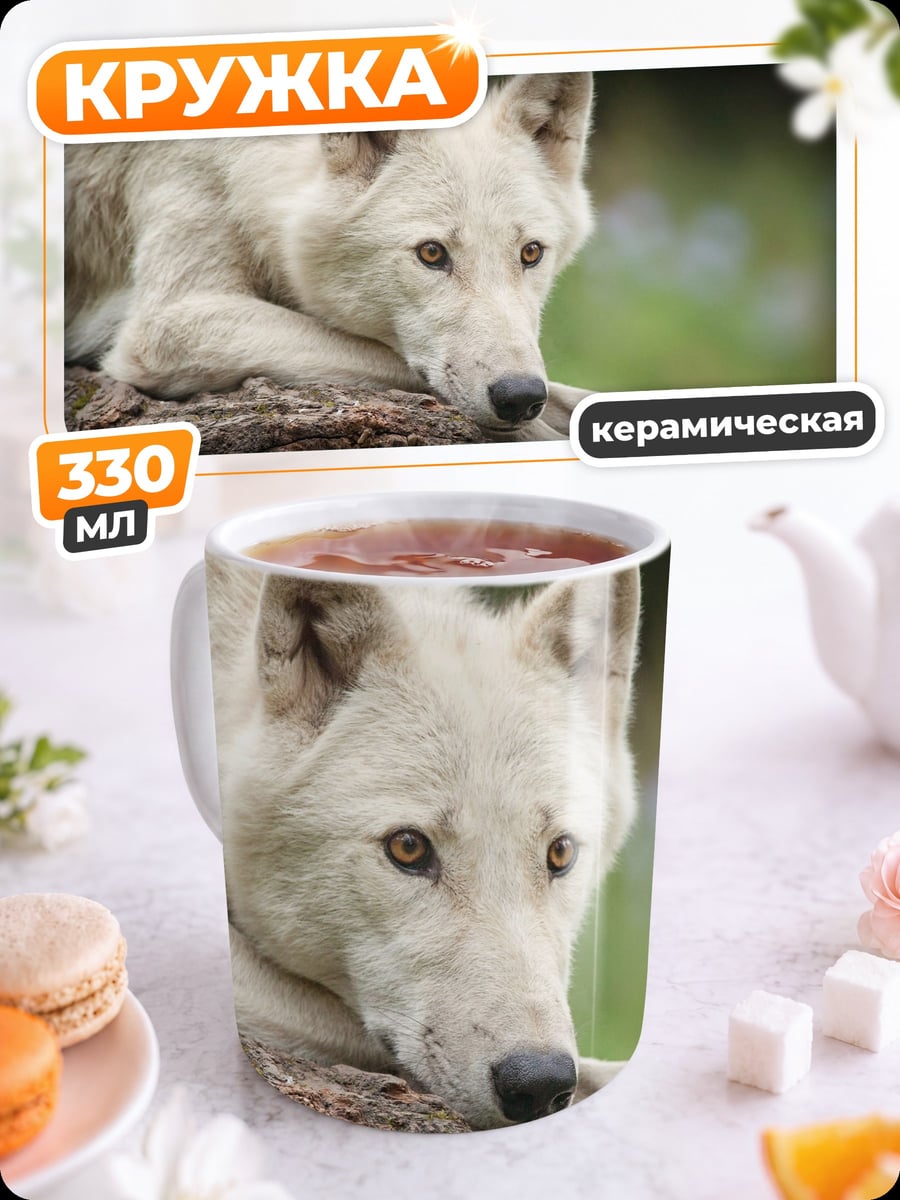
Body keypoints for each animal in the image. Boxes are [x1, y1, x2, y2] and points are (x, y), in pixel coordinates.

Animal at [64, 73, 595, 441]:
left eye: (530, 252)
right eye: (431, 253)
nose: (520, 396)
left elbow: (569, 393)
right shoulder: (166, 326)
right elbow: (391, 359)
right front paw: (540, 432)